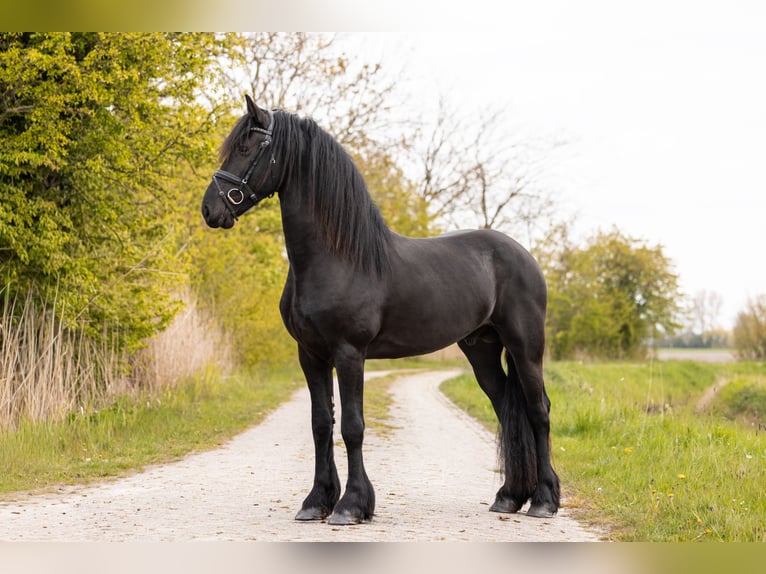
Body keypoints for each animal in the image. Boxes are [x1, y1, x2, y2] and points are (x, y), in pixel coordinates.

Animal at [201, 95, 560, 525]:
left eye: (245, 147)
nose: (210, 210)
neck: (336, 257)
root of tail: (523, 254)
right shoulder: (311, 355)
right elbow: (321, 424)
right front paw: (316, 501)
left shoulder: (349, 353)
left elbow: (353, 426)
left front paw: (351, 505)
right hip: (482, 348)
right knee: (506, 406)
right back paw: (508, 496)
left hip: (525, 346)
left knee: (538, 410)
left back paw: (543, 500)